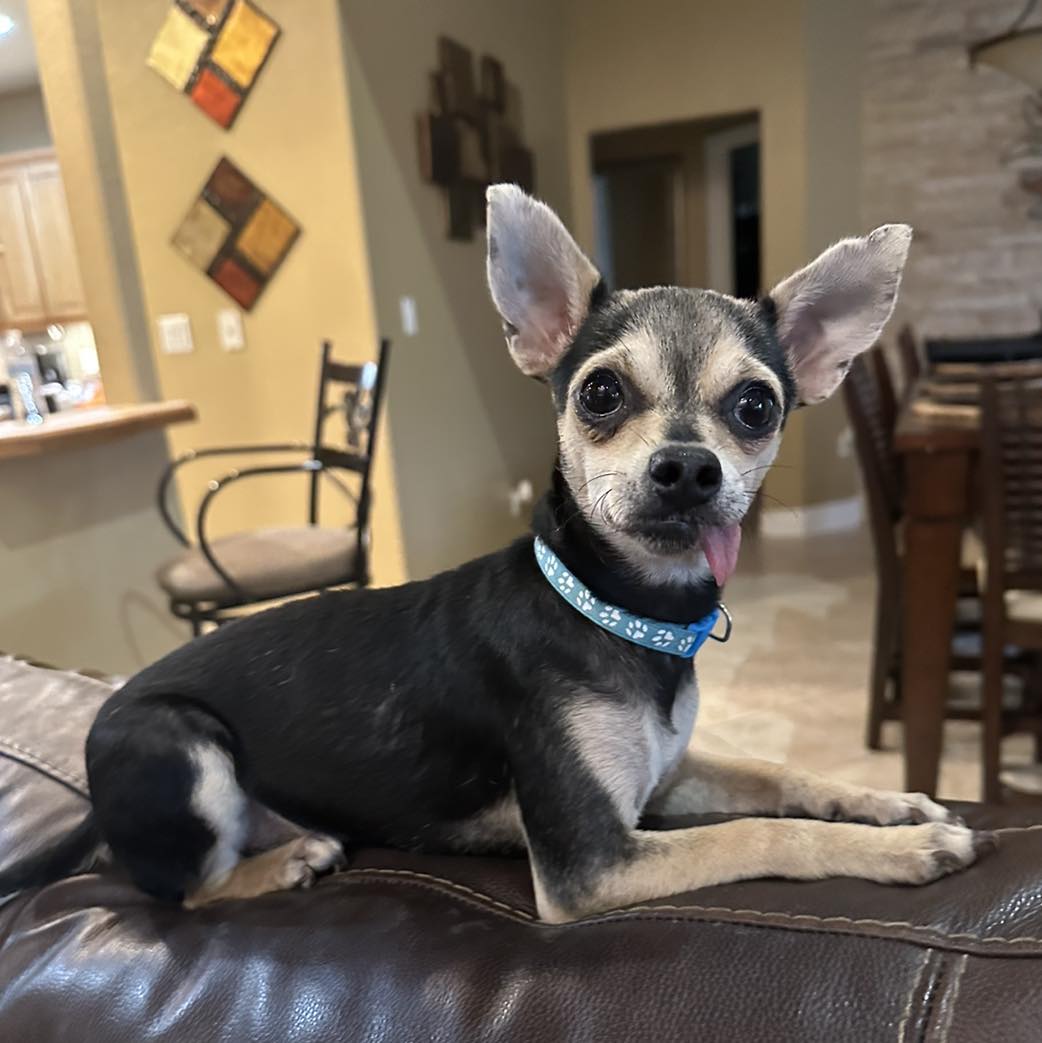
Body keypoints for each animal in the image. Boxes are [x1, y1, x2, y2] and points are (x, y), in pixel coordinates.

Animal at [0, 185, 992, 922]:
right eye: (599, 393)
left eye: (756, 407)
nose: (686, 468)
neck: (621, 612)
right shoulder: (594, 858)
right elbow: (760, 833)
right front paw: (906, 847)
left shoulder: (662, 781)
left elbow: (778, 774)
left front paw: (890, 802)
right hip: (182, 743)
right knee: (183, 890)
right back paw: (282, 864)